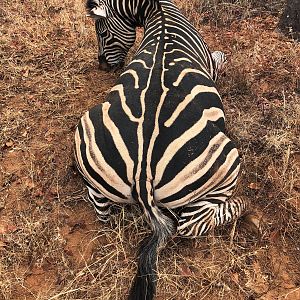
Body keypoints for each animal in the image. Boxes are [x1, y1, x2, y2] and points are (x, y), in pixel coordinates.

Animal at [75, 1, 248, 298]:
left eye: (102, 33)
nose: (103, 66)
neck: (158, 12)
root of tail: (142, 171)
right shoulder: (212, 66)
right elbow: (220, 57)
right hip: (225, 163)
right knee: (192, 224)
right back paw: (243, 206)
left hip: (85, 135)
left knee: (101, 212)